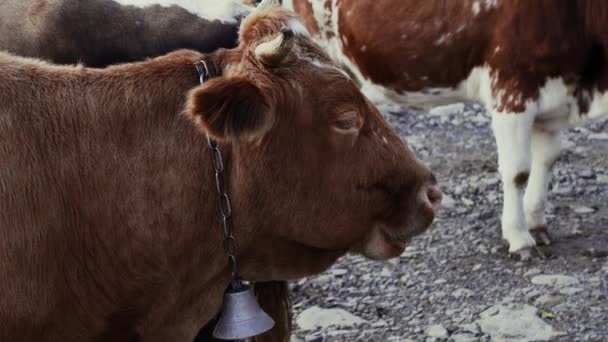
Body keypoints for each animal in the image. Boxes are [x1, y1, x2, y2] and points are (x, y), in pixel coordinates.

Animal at [288, 0, 608, 255]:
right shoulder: (510, 90)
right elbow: (518, 172)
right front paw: (519, 237)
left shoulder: (551, 100)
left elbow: (547, 161)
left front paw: (536, 224)